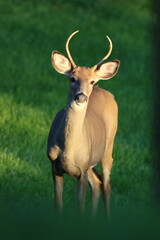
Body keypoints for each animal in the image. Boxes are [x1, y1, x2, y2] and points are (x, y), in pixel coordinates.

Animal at [47, 30, 119, 216]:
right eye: (72, 78)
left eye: (92, 81)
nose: (81, 97)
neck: (69, 150)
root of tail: (105, 91)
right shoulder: (54, 166)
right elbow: (58, 205)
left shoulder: (82, 170)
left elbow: (80, 208)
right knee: (98, 184)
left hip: (108, 148)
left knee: (106, 185)